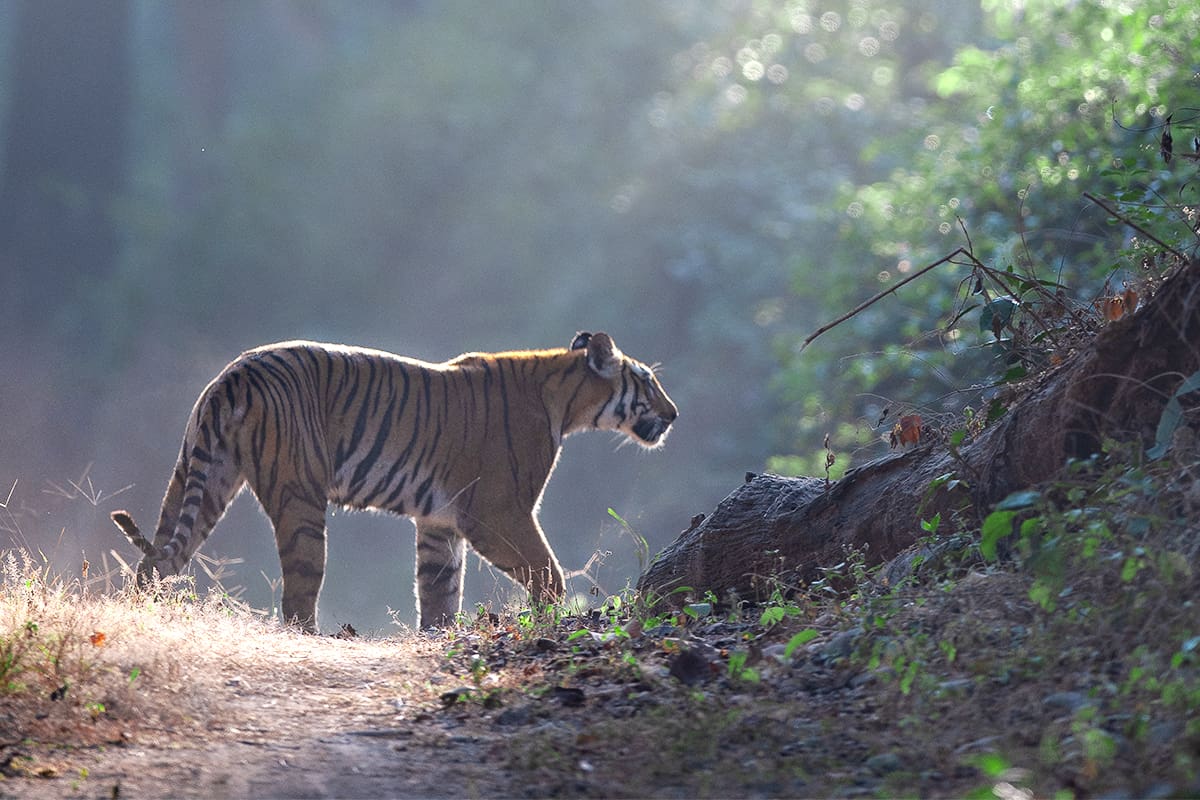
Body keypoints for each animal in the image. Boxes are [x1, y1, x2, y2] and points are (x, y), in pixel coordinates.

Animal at [111, 331, 676, 633]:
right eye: (648, 380)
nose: (673, 415)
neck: (564, 397)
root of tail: (236, 373)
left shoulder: (440, 522)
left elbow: (440, 589)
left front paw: (438, 636)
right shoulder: (498, 512)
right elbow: (547, 573)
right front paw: (550, 621)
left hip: (198, 476)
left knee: (156, 560)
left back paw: (141, 614)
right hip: (300, 498)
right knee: (298, 591)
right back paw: (315, 639)